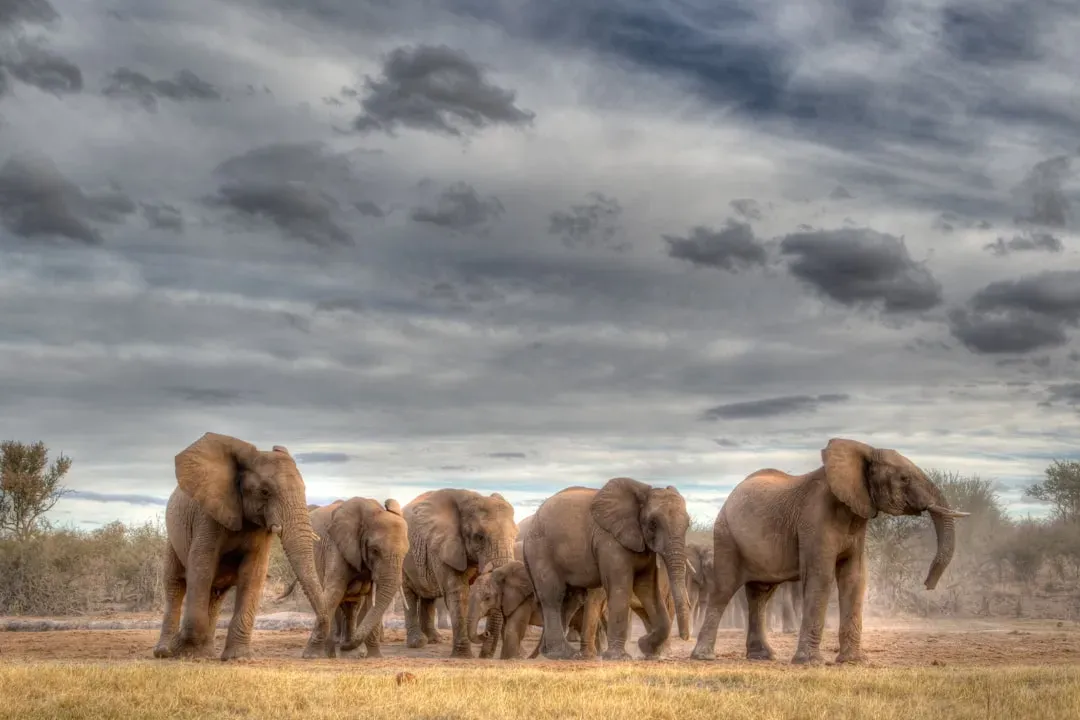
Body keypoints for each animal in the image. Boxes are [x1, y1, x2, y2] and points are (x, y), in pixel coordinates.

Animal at [152, 433, 329, 661]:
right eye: (265, 492)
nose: (313, 653)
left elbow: (253, 573)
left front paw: (238, 657)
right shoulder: (207, 516)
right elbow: (202, 566)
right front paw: (185, 652)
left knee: (215, 594)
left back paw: (207, 653)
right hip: (172, 539)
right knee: (174, 585)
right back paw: (166, 652)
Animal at [278, 497, 408, 658]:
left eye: (406, 552)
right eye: (375, 550)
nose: (345, 646)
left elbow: (372, 599)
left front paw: (375, 657)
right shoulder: (336, 547)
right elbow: (334, 592)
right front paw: (311, 656)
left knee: (352, 606)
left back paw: (349, 652)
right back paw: (331, 653)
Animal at [401, 488, 518, 658]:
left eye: (515, 535)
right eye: (479, 537)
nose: (485, 634)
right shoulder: (444, 545)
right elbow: (458, 593)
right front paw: (463, 656)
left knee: (428, 597)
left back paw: (435, 640)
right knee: (409, 593)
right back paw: (418, 643)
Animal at [523, 478, 692, 660]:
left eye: (688, 525)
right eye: (653, 524)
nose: (686, 638)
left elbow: (647, 589)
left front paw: (644, 646)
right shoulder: (610, 541)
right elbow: (620, 588)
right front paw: (619, 657)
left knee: (569, 600)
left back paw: (551, 653)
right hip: (540, 551)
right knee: (553, 596)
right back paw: (563, 654)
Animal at [691, 437, 970, 665]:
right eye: (904, 479)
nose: (928, 585)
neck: (863, 452)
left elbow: (854, 578)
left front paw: (854, 662)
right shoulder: (815, 520)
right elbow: (821, 576)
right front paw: (810, 663)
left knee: (761, 594)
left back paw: (763, 657)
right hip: (726, 535)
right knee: (725, 589)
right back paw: (703, 656)